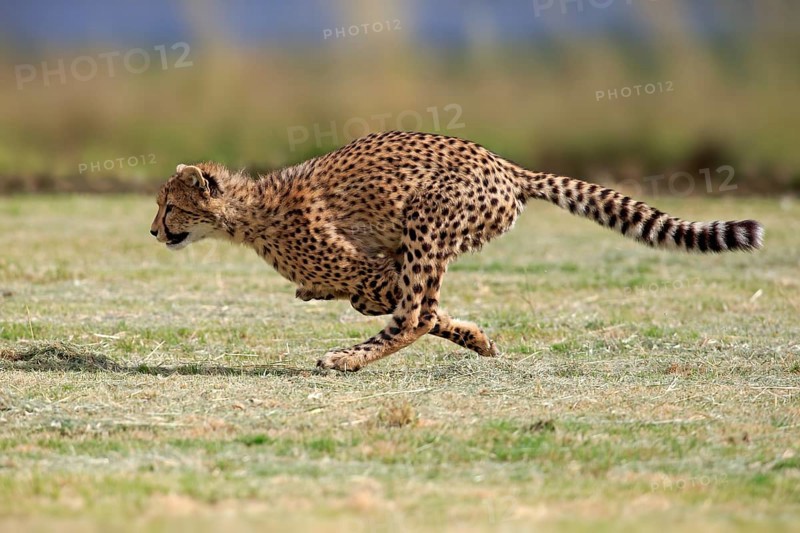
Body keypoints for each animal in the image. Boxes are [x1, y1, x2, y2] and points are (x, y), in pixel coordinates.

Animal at [150, 130, 763, 372]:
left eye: (169, 206)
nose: (154, 232)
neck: (248, 215)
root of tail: (505, 164)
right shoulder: (380, 269)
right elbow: (420, 306)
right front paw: (478, 337)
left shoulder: (373, 267)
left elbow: (398, 302)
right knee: (420, 307)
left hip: (426, 217)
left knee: (414, 315)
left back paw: (346, 358)